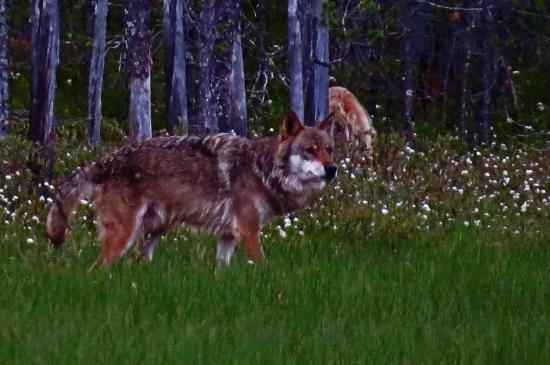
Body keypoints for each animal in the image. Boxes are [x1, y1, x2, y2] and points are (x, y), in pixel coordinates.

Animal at [45, 110, 336, 264]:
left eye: (329, 149)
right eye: (309, 150)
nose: (332, 169)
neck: (262, 169)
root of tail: (104, 160)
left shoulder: (228, 236)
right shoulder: (249, 231)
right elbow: (262, 265)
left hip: (153, 232)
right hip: (124, 236)